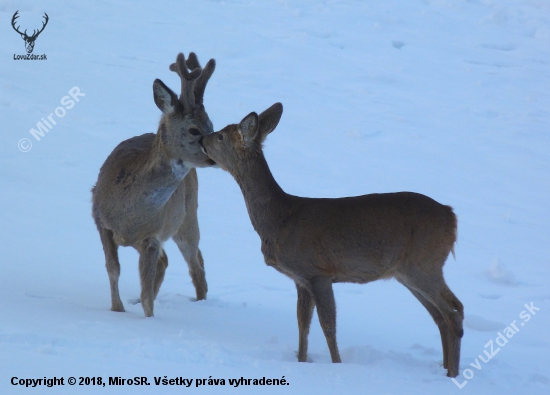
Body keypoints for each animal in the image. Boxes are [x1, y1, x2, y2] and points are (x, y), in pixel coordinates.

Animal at [91, 52, 217, 318]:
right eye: (194, 130)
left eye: (212, 126)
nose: (215, 152)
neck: (129, 213)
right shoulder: (101, 222)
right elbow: (113, 270)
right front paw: (117, 310)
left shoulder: (152, 237)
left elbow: (146, 293)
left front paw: (148, 320)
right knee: (168, 262)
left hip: (187, 216)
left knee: (196, 264)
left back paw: (201, 305)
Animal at [201, 103, 464, 378]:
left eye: (220, 136)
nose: (200, 139)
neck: (279, 219)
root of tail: (451, 216)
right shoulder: (300, 278)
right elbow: (302, 323)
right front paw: (301, 361)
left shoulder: (319, 272)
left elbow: (328, 325)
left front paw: (337, 367)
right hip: (407, 272)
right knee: (440, 316)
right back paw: (445, 368)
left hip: (424, 263)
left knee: (454, 311)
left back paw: (452, 374)